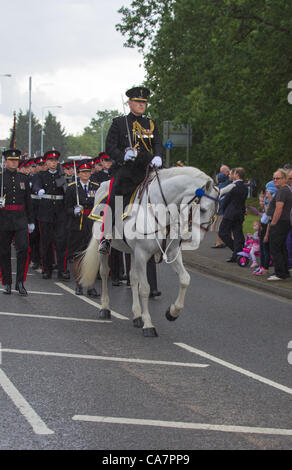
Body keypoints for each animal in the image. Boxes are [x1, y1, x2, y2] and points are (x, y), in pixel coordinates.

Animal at [78, 167, 218, 336]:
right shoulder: (142, 254)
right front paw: (149, 325)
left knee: (132, 277)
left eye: (215, 213)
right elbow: (144, 289)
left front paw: (172, 313)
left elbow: (185, 279)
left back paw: (137, 316)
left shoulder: (170, 252)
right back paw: (105, 308)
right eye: (202, 209)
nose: (198, 239)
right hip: (105, 248)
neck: (160, 210)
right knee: (104, 272)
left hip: (132, 252)